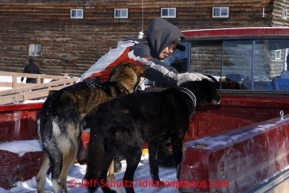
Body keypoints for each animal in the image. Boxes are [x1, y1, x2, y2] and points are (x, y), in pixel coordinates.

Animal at [35, 62, 147, 192]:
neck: (120, 85)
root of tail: (50, 106)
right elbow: (111, 172)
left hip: (51, 149)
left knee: (40, 177)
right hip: (72, 147)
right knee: (60, 180)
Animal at [84, 75, 219, 193]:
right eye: (215, 89)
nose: (219, 99)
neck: (188, 95)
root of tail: (102, 111)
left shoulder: (153, 142)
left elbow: (154, 165)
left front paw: (157, 183)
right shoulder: (177, 139)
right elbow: (178, 161)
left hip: (107, 153)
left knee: (101, 176)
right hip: (134, 150)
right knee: (126, 179)